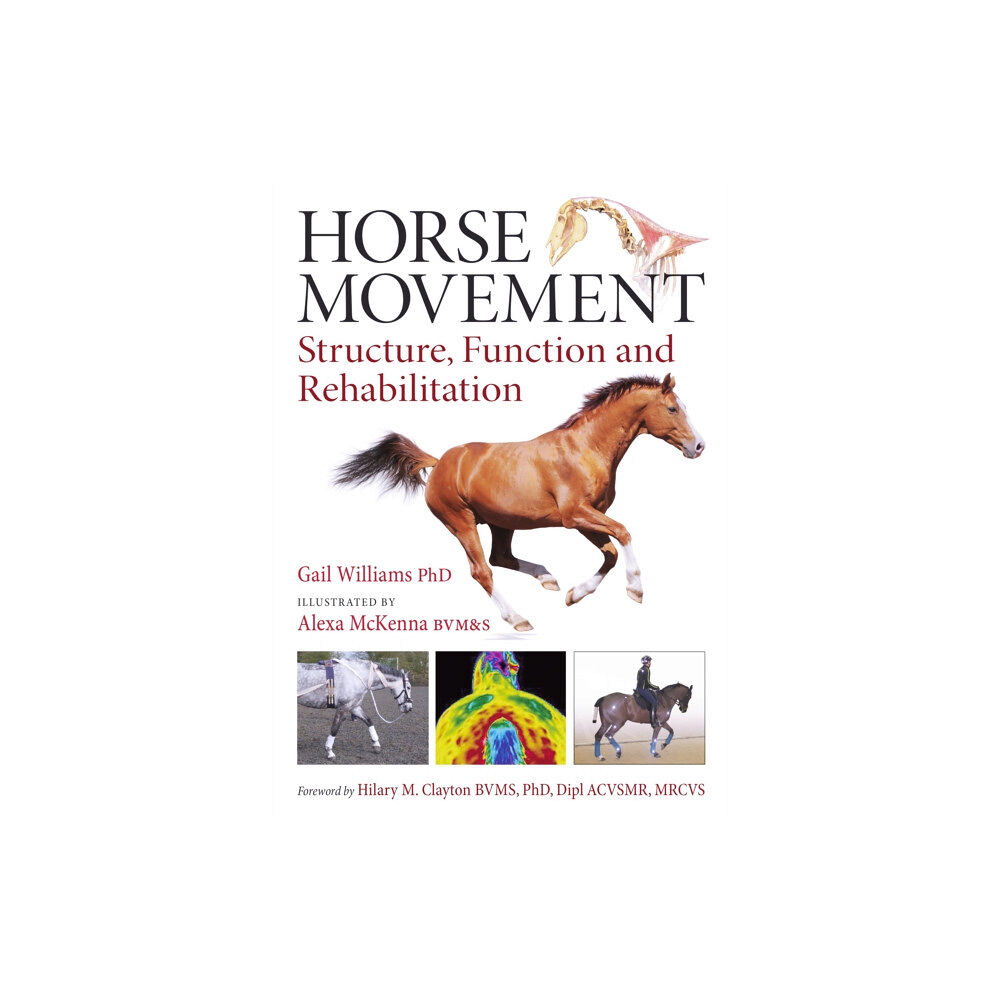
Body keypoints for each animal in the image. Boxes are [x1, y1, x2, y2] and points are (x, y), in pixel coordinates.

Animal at [334, 373, 704, 631]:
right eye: (673, 408)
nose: (699, 446)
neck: (586, 448)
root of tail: (439, 462)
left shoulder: (586, 518)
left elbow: (610, 554)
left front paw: (574, 595)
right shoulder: (575, 515)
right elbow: (624, 533)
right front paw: (636, 589)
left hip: (502, 523)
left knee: (501, 558)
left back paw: (547, 578)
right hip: (462, 523)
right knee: (482, 571)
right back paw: (519, 619)